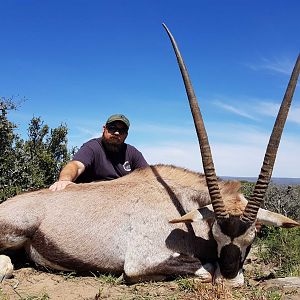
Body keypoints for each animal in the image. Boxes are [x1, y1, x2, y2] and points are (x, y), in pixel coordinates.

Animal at [0, 24, 298, 284]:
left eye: (253, 237)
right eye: (216, 235)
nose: (230, 279)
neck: (183, 203)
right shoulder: (141, 261)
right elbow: (203, 267)